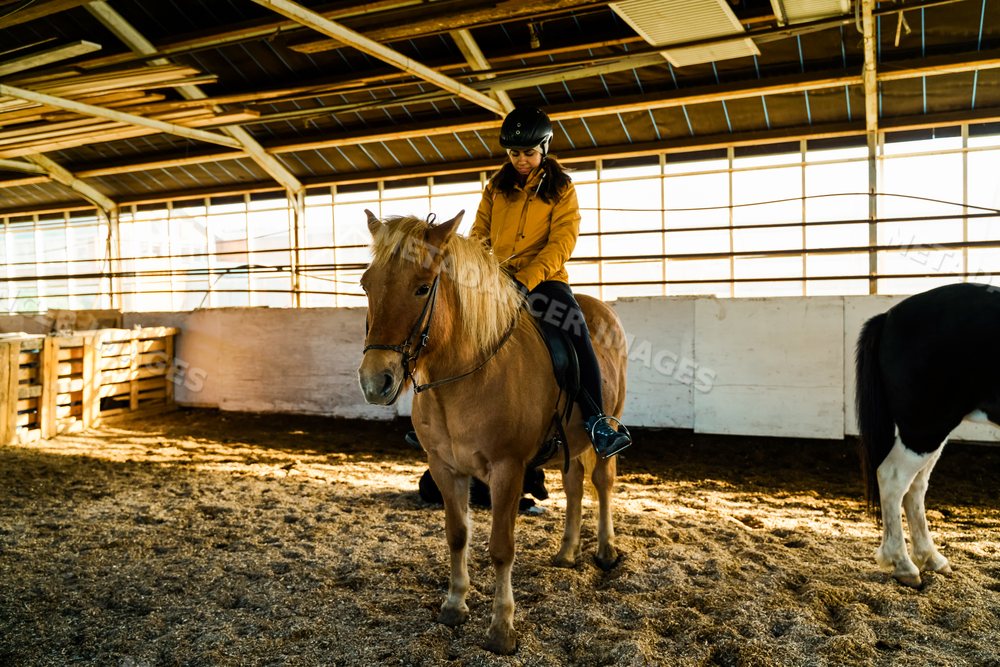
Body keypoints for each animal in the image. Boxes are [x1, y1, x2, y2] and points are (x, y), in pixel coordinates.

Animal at [357, 210, 628, 654]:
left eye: (423, 287)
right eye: (367, 284)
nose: (374, 381)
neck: (466, 376)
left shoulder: (507, 470)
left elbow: (501, 548)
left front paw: (502, 628)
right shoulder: (445, 468)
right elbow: (457, 535)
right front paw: (454, 605)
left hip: (608, 424)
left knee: (602, 481)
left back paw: (605, 550)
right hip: (570, 442)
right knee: (574, 484)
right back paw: (567, 551)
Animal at [855, 281, 1000, 587]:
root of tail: (888, 317)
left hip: (929, 432)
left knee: (915, 488)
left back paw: (931, 558)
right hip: (924, 429)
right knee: (894, 479)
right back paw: (904, 565)